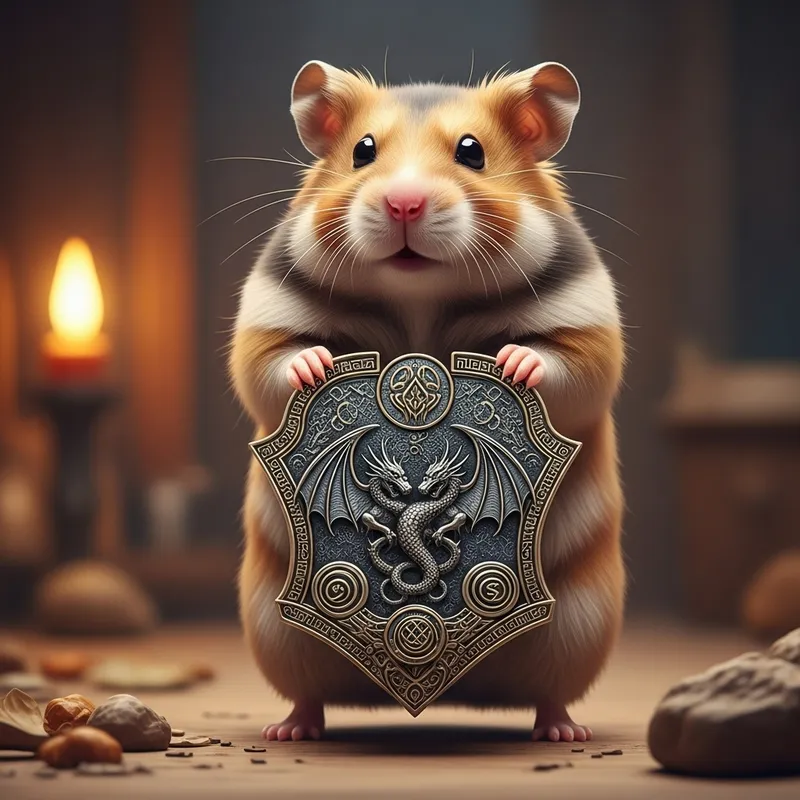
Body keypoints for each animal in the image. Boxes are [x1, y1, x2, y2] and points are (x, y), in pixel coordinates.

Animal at [230, 60, 625, 743]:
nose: (404, 202)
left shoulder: (588, 324)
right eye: (362, 151)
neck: (419, 298)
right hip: (276, 628)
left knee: (552, 692)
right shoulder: (265, 319)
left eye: (473, 152)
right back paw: (291, 729)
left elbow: (575, 368)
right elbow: (266, 365)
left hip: (579, 624)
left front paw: (515, 363)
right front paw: (316, 366)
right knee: (308, 692)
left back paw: (562, 731)